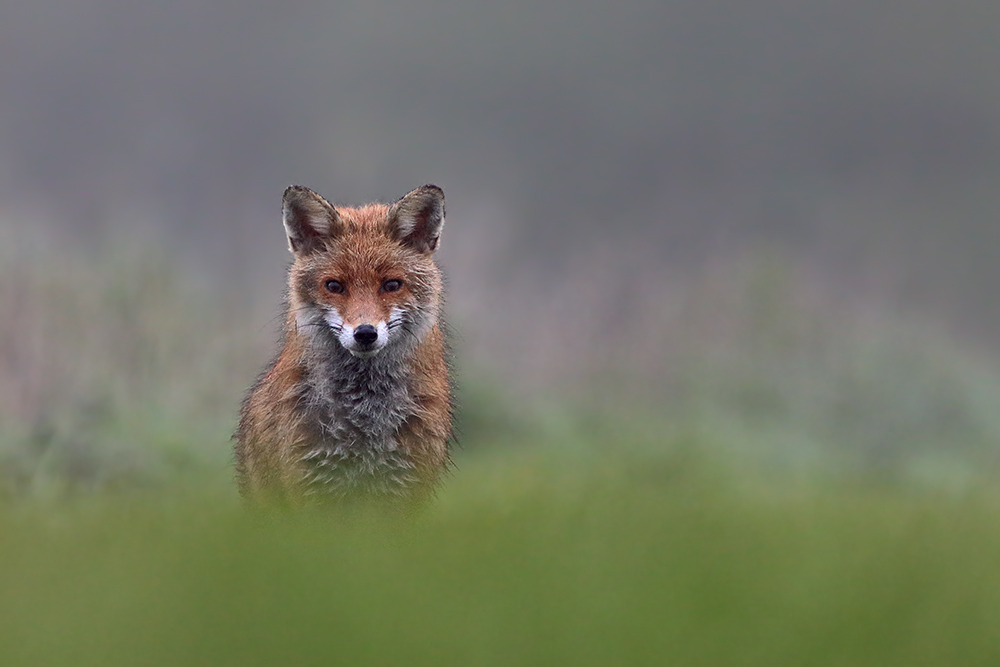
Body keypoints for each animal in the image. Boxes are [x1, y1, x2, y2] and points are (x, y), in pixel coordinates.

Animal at [234, 183, 454, 506]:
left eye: (391, 285)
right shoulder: (310, 485)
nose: (365, 333)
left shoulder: (407, 488)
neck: (364, 416)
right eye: (334, 286)